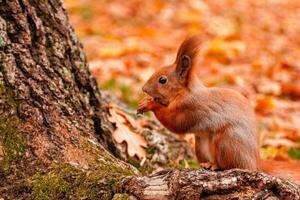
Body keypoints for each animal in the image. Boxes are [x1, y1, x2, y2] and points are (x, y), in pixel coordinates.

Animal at [138, 35, 300, 183]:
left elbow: (175, 123)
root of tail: (256, 164)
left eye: (162, 80)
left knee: (232, 165)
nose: (144, 89)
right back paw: (207, 163)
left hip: (227, 141)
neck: (185, 92)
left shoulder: (191, 107)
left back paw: (216, 166)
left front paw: (150, 104)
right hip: (200, 144)